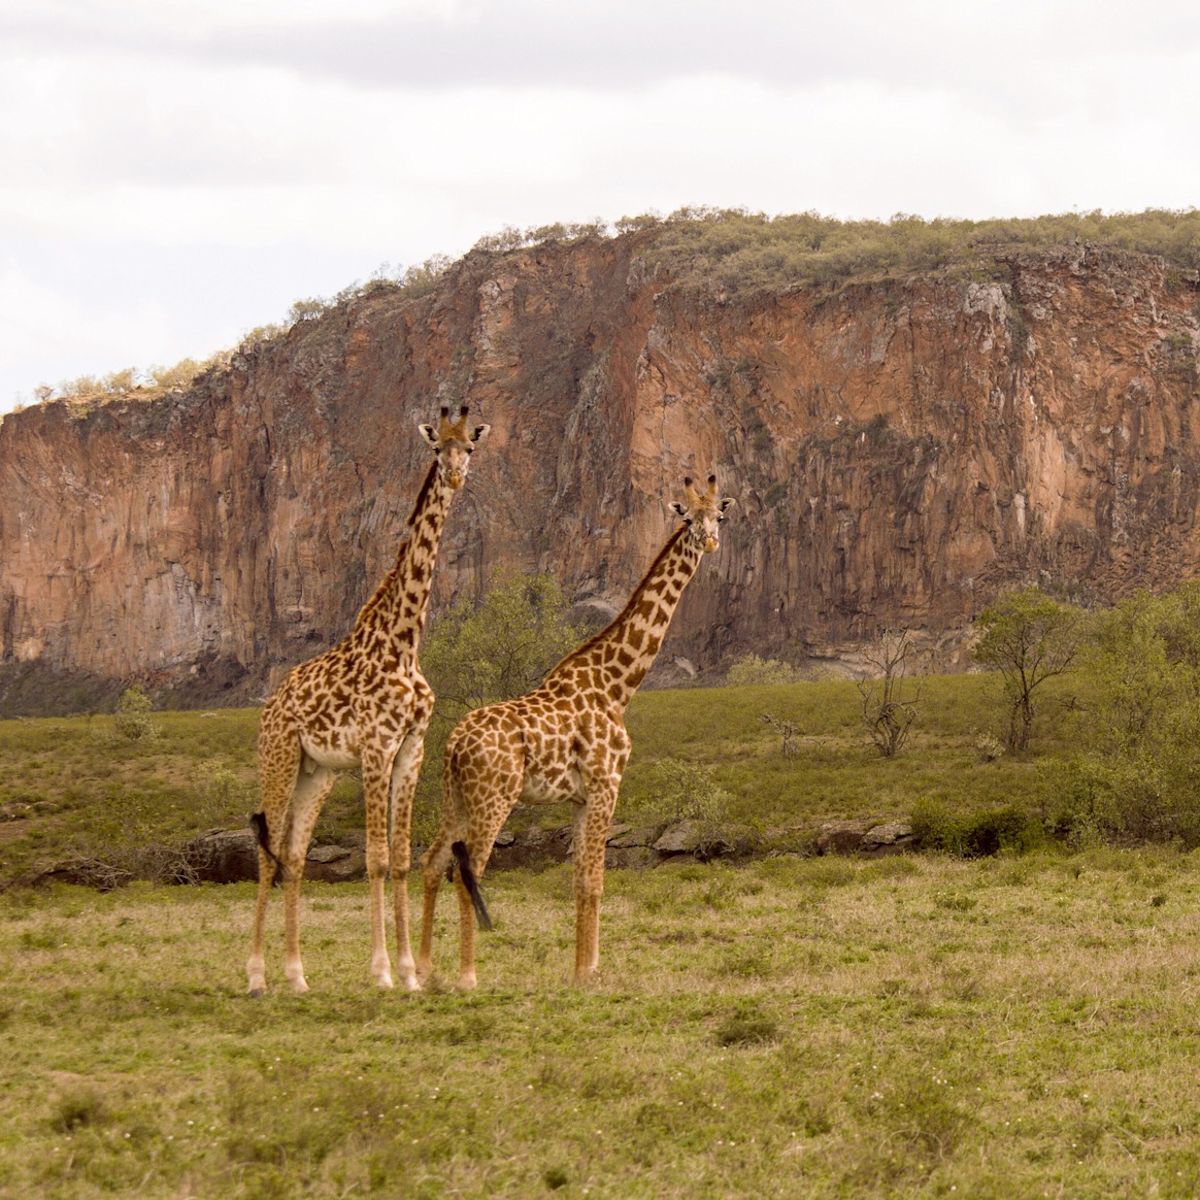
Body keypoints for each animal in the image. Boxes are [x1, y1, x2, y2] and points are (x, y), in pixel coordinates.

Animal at [246, 403, 489, 993]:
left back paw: (297, 976)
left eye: (470, 447)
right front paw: (381, 971)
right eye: (436, 448)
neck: (404, 642)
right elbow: (375, 857)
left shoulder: (411, 749)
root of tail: (270, 703)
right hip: (279, 757)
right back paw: (257, 976)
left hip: (317, 772)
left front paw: (411, 973)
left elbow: (399, 857)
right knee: (267, 854)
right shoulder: (376, 747)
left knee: (293, 854)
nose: (455, 476)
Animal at [417, 472, 734, 988]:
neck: (616, 684)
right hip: (494, 798)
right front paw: (589, 970)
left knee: (431, 864)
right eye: (687, 518)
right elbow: (595, 880)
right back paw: (466, 976)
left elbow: (579, 881)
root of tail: (454, 745)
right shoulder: (607, 784)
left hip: (455, 797)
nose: (709, 541)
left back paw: (424, 970)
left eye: (719, 517)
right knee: (468, 873)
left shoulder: (581, 797)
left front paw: (583, 967)